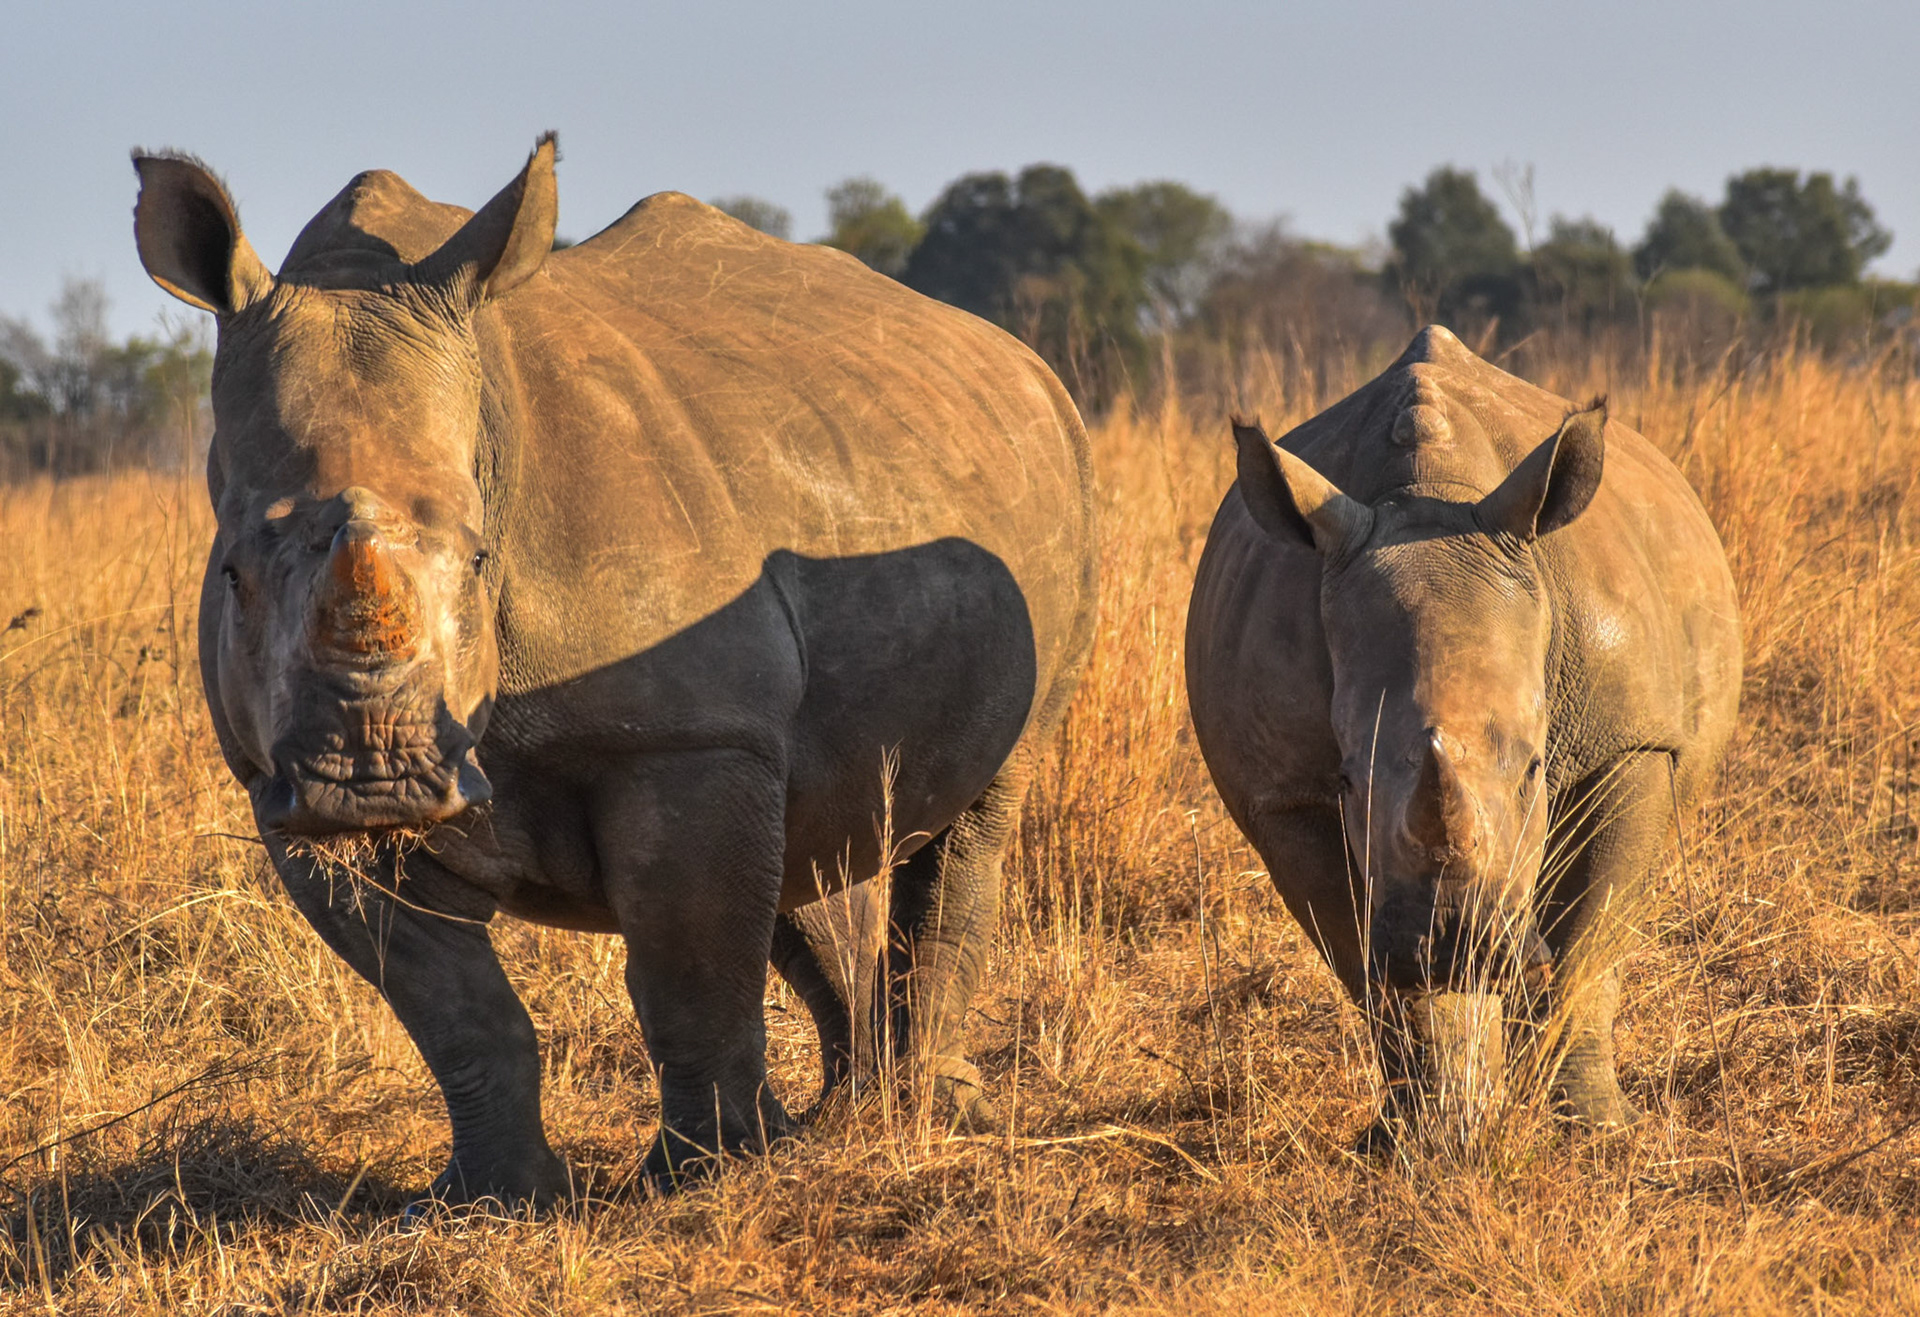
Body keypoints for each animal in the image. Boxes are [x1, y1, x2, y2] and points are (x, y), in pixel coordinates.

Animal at [131, 135, 1097, 1206]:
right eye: (232, 574)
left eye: (480, 559)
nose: (375, 778)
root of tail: (1020, 362)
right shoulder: (281, 788)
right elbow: (458, 1013)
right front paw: (494, 1199)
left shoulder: (685, 734)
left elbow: (686, 969)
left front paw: (706, 1177)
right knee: (812, 827)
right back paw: (844, 1117)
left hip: (1055, 495)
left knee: (981, 809)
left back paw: (926, 1111)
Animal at [1186, 327, 1740, 1137]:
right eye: (1345, 778)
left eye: (1537, 768)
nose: (1451, 936)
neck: (1432, 496)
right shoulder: (1284, 790)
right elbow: (1368, 970)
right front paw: (1425, 1138)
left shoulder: (1629, 742)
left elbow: (1588, 940)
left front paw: (1586, 1126)